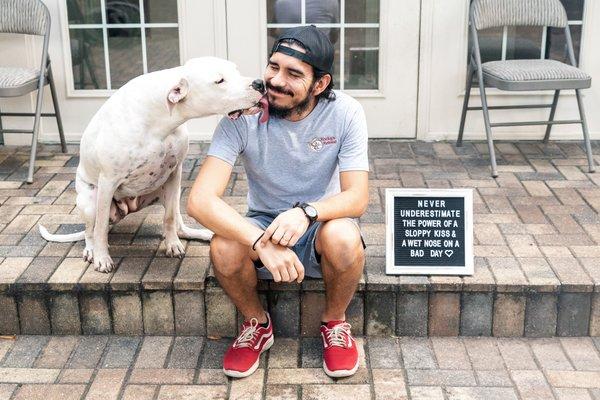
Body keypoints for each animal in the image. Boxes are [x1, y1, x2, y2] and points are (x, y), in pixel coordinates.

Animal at [39, 57, 268, 272]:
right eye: (220, 80)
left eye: (236, 70)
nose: (260, 83)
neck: (159, 120)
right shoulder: (107, 181)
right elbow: (101, 228)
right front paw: (102, 258)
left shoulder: (175, 172)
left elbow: (169, 218)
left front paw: (172, 244)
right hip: (89, 200)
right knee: (90, 230)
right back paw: (91, 249)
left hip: (170, 193)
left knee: (177, 221)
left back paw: (200, 233)